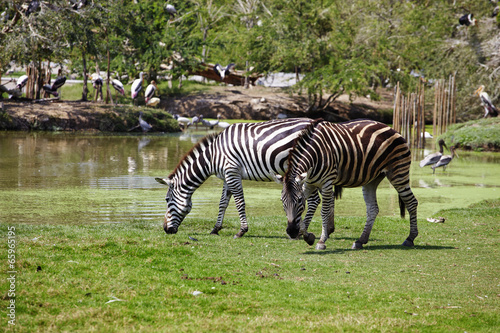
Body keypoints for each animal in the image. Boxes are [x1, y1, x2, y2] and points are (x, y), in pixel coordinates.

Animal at [154, 118, 322, 237]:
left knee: (313, 200)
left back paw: (301, 231)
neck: (213, 156)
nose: (165, 229)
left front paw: (242, 230)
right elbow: (223, 203)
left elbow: (240, 202)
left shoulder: (232, 172)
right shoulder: (226, 176)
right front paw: (215, 229)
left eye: (167, 200)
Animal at [278, 118, 418, 249]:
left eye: (299, 200)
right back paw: (360, 241)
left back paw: (410, 238)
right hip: (372, 179)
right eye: (282, 202)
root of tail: (393, 130)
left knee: (411, 202)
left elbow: (324, 211)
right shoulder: (308, 184)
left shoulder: (327, 183)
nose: (291, 232)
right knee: (373, 209)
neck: (315, 155)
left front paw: (321, 241)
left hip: (398, 173)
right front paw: (308, 236)